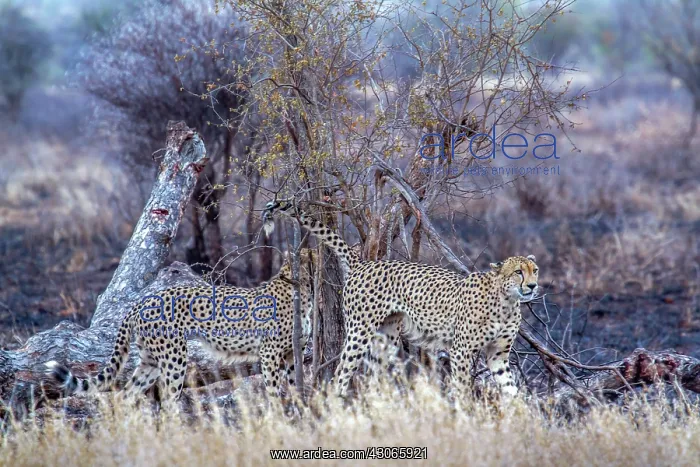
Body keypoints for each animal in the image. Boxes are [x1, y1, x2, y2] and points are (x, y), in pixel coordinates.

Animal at [46, 249, 316, 401]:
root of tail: (142, 300)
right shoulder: (269, 353)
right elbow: (273, 389)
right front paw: (278, 417)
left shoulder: (293, 351)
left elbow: (296, 382)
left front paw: (299, 409)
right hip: (174, 357)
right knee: (168, 400)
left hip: (150, 360)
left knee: (127, 395)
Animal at [263, 200, 540, 399]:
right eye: (518, 272)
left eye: (534, 270)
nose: (533, 285)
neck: (505, 301)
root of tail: (363, 262)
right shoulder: (461, 351)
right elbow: (462, 388)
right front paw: (466, 415)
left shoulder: (498, 355)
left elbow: (511, 389)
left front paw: (520, 419)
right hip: (358, 332)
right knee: (341, 372)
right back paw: (338, 408)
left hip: (385, 337)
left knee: (374, 376)